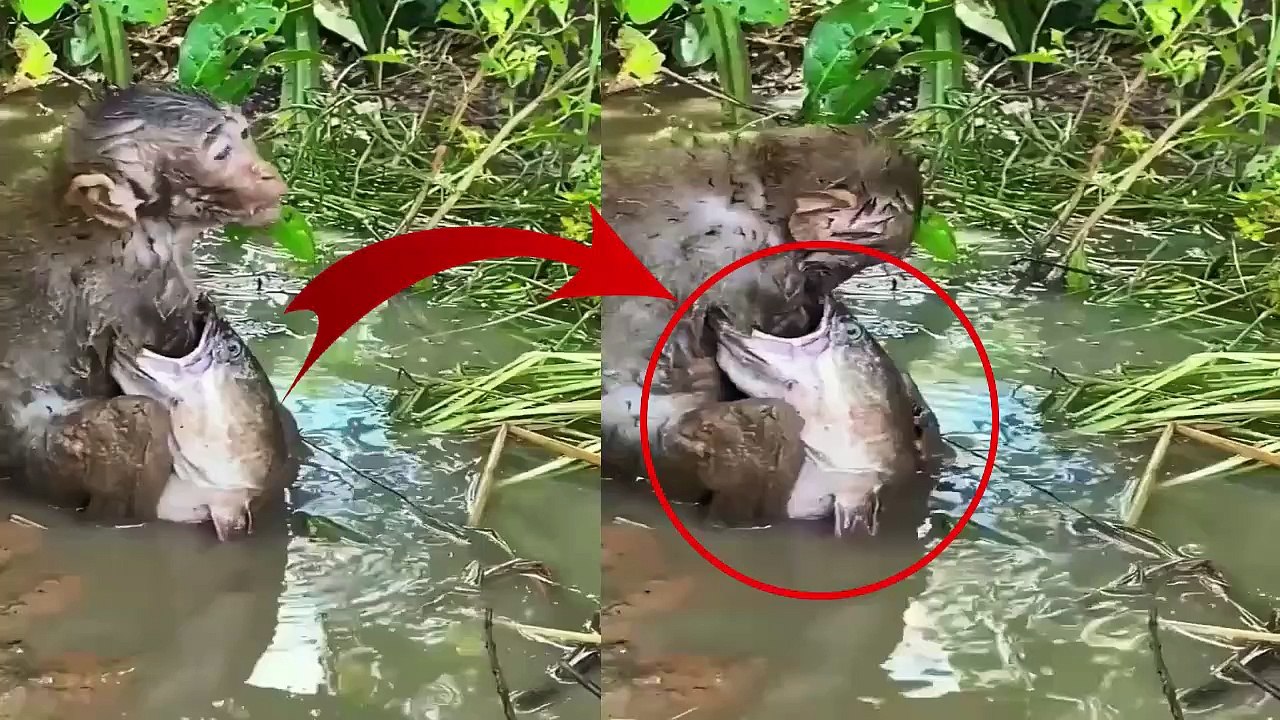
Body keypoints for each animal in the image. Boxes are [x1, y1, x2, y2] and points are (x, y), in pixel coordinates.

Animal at [0, 84, 299, 526]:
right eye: (222, 154)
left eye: (244, 135)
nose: (265, 172)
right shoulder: (154, 281)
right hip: (38, 461)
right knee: (141, 417)